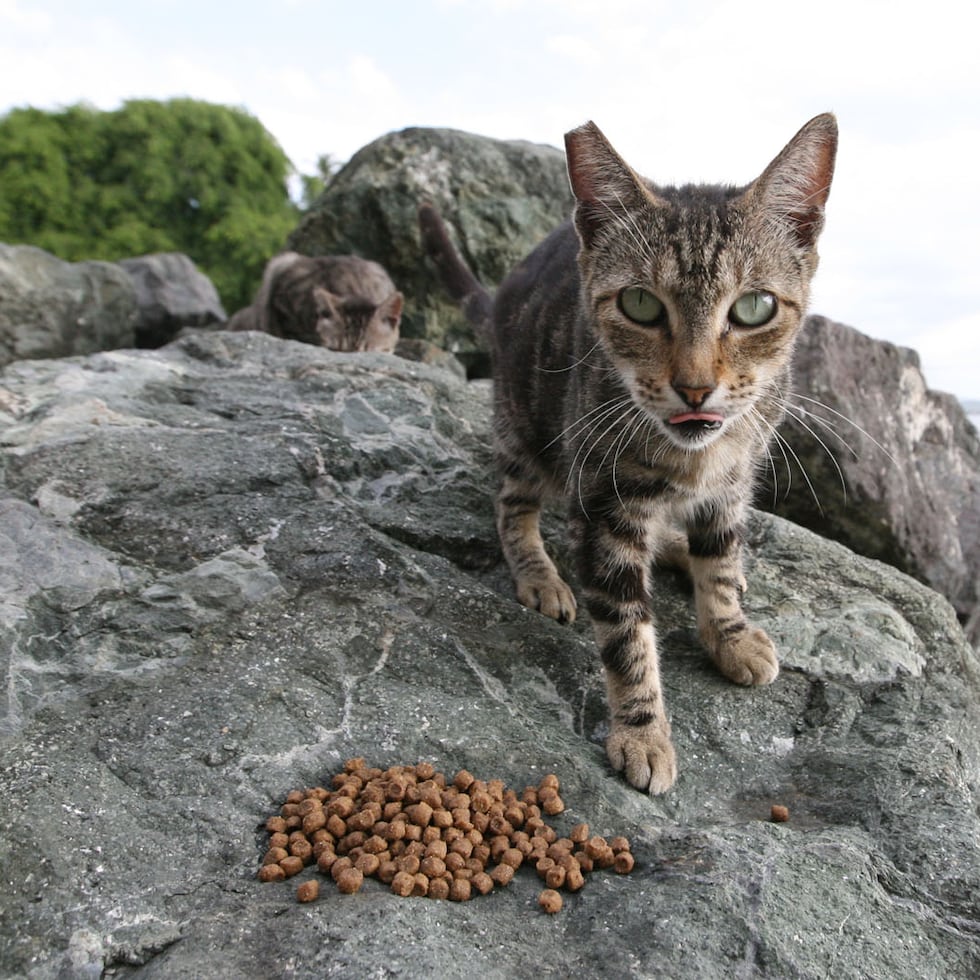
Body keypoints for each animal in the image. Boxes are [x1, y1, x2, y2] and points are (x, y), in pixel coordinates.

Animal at [420, 113, 836, 796]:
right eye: (641, 304)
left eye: (755, 308)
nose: (695, 386)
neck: (697, 456)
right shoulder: (604, 507)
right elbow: (626, 631)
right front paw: (643, 733)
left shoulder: (732, 485)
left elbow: (721, 560)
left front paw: (728, 631)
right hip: (525, 428)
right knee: (512, 507)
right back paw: (541, 574)